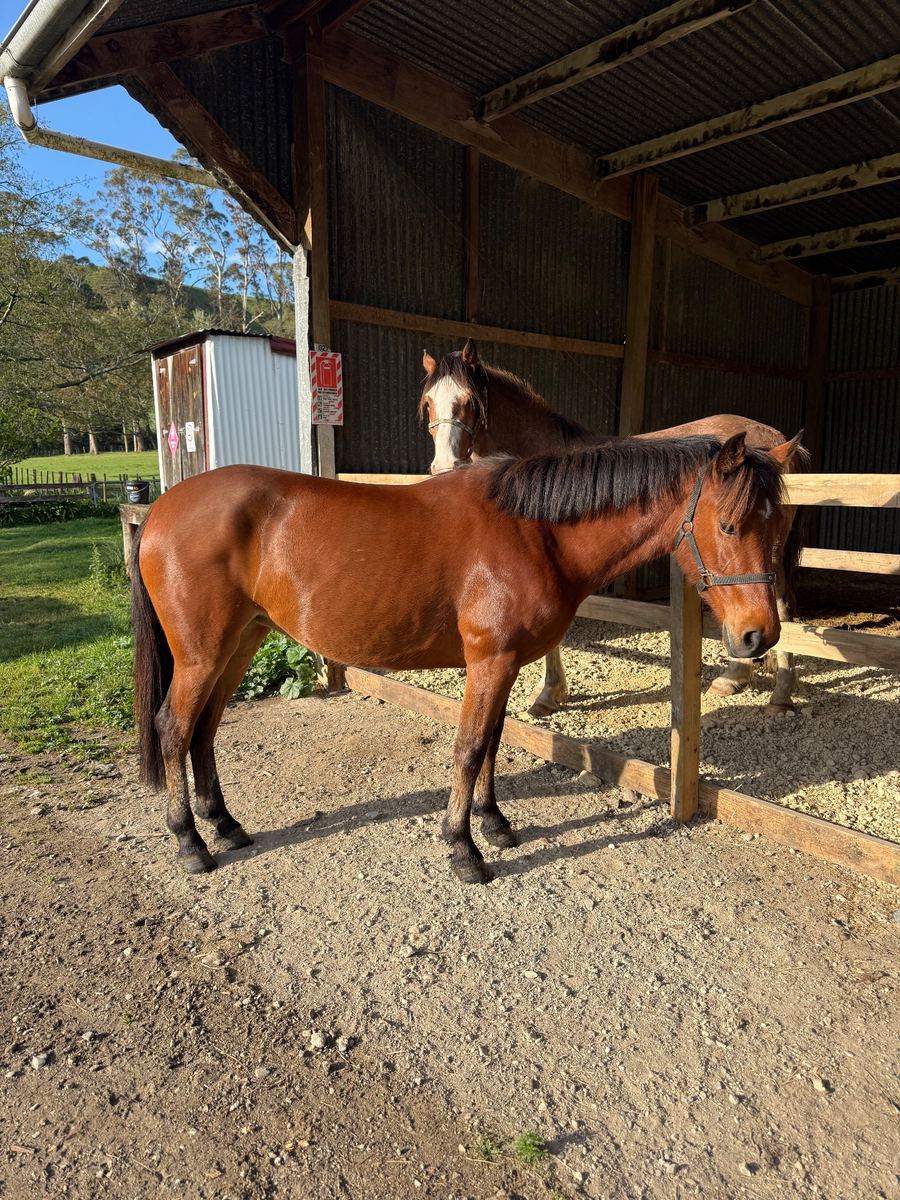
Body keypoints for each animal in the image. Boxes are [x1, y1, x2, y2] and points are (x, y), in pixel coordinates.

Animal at [132, 432, 801, 884]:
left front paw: (494, 823)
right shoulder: (490, 661)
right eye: (730, 525)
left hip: (239, 642)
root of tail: (161, 508)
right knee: (174, 727)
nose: (758, 637)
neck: (534, 532)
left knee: (205, 730)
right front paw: (463, 848)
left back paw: (224, 824)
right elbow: (471, 746)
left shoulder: (503, 664)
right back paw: (191, 843)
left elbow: (494, 741)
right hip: (202, 654)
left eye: (780, 528)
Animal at [420, 340, 807, 718]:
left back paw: (780, 695)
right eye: (428, 403)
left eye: (468, 401)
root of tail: (778, 441)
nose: (444, 466)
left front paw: (548, 694)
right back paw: (737, 674)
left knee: (781, 606)